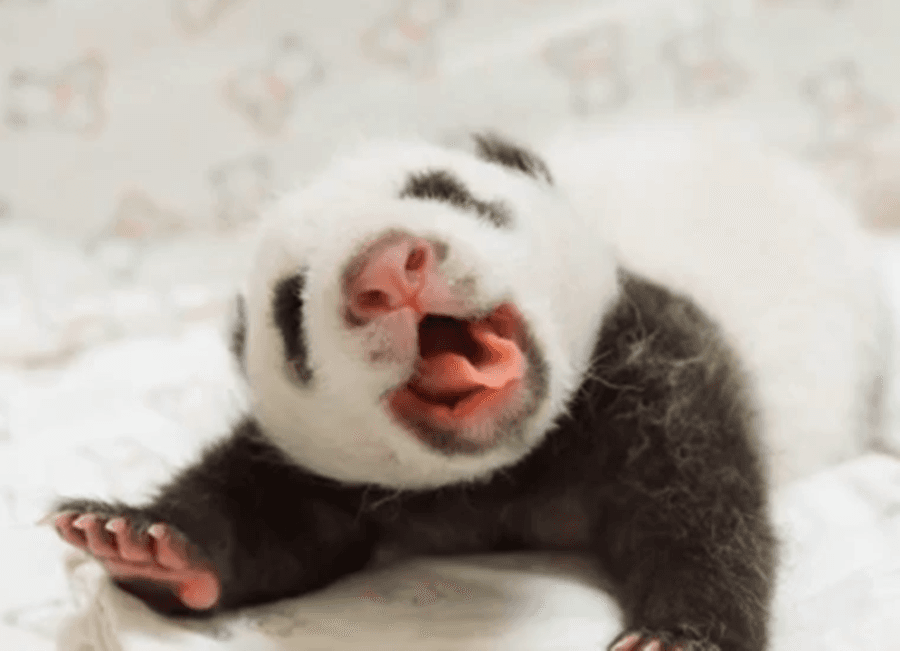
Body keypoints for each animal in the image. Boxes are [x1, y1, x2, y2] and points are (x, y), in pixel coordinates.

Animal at [47, 121, 886, 651]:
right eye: (289, 305)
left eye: (446, 190)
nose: (388, 271)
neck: (512, 463)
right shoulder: (329, 467)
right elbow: (275, 519)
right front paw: (140, 542)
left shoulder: (658, 352)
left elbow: (701, 502)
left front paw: (676, 636)